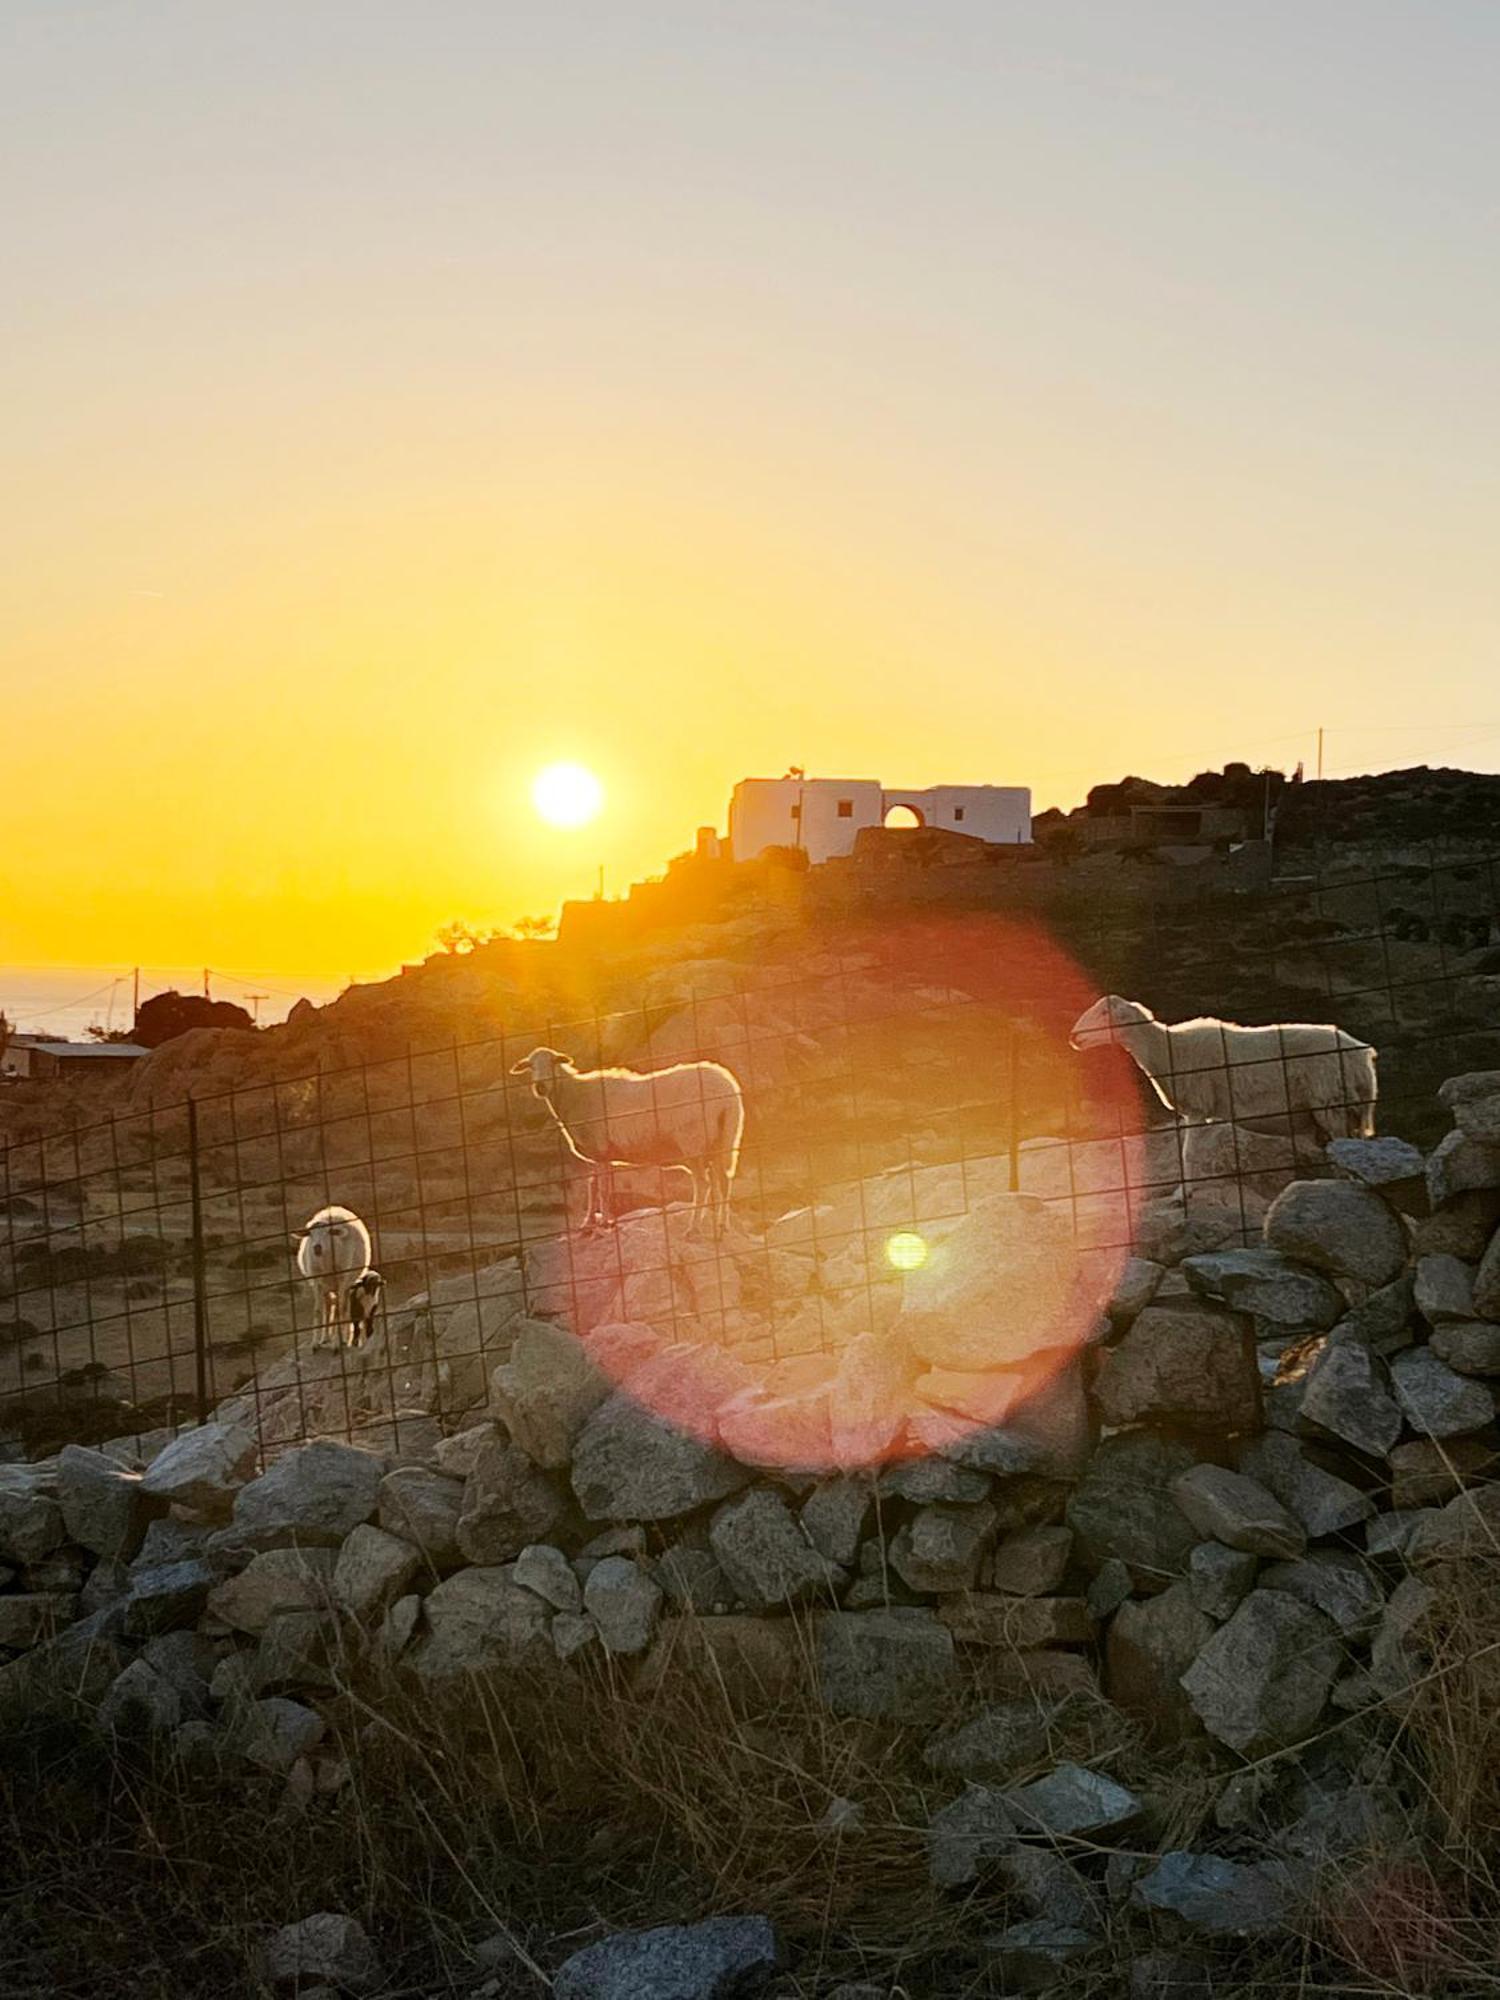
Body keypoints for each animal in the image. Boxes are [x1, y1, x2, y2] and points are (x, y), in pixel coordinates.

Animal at [296, 1192, 374, 1352]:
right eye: (310, 1234)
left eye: (329, 1232)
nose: (317, 1247)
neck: (325, 1262)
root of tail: (336, 1208)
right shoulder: (317, 1281)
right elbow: (318, 1311)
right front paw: (315, 1344)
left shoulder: (342, 1280)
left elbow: (340, 1310)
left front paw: (337, 1344)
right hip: (326, 1286)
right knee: (327, 1307)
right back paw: (325, 1338)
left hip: (346, 1284)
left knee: (343, 1307)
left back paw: (342, 1339)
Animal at [516, 1048, 748, 1232]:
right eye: (531, 1066)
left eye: (553, 1062)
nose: (540, 1087)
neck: (575, 1095)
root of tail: (727, 1091)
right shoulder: (599, 1154)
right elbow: (593, 1186)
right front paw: (589, 1223)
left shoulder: (600, 1150)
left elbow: (601, 1190)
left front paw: (604, 1223)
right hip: (722, 1139)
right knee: (723, 1181)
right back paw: (722, 1226)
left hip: (693, 1142)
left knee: (703, 1184)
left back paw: (693, 1227)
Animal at [1072, 992, 1384, 1152]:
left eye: (1104, 1013)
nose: (1073, 1037)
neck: (1167, 1047)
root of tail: (1361, 1052)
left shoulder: (1198, 1108)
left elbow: (1188, 1156)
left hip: (1332, 1101)